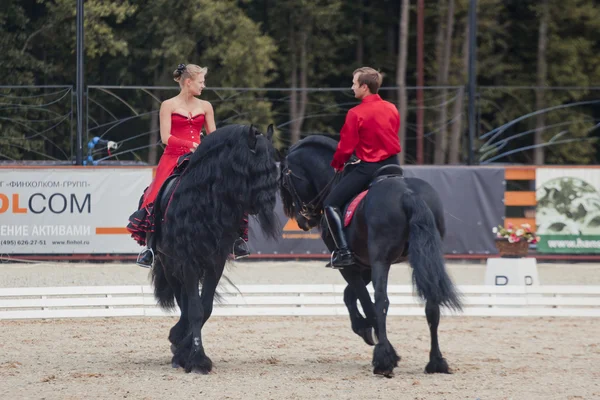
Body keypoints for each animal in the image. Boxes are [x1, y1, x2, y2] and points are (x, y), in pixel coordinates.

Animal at [151, 123, 280, 374]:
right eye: (256, 166)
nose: (268, 201)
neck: (207, 201)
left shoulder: (215, 261)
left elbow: (205, 307)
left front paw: (186, 352)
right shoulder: (188, 261)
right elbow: (195, 309)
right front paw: (197, 359)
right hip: (169, 263)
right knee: (183, 301)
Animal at [278, 136, 462, 376]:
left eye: (284, 182)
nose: (303, 220)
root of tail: (408, 193)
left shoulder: (350, 265)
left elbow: (365, 300)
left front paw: (382, 347)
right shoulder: (363, 264)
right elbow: (349, 295)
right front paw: (364, 329)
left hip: (381, 261)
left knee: (381, 301)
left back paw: (383, 362)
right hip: (424, 257)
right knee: (431, 301)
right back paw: (436, 362)